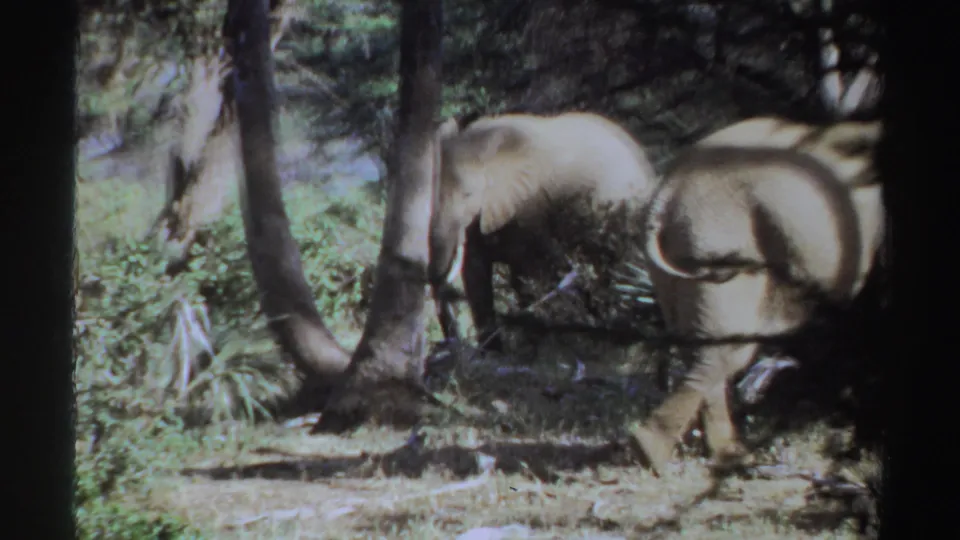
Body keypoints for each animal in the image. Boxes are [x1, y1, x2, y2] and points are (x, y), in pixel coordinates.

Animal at [427, 111, 658, 353]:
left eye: (468, 194)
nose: (449, 343)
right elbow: (476, 276)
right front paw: (492, 354)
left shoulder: (530, 206)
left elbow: (527, 274)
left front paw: (531, 347)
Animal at [629, 116, 885, 475]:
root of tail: (665, 195)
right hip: (720, 244)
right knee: (729, 348)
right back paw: (656, 453)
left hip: (679, 257)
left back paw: (723, 453)